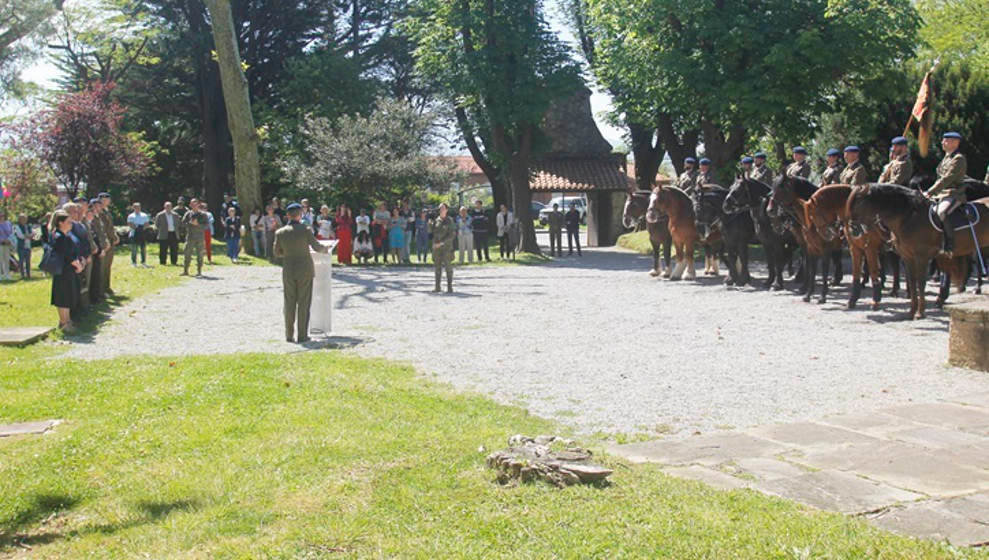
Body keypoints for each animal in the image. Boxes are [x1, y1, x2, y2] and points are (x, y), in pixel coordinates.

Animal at [772, 176, 840, 304]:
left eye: (782, 188)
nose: (771, 211)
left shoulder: (825, 249)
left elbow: (822, 270)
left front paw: (822, 296)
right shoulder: (809, 246)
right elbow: (810, 268)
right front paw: (807, 292)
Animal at [840, 185, 988, 320]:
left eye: (858, 203)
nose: (852, 230)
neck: (907, 217)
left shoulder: (920, 257)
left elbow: (920, 283)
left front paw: (920, 313)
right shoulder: (907, 257)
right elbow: (912, 281)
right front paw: (911, 311)